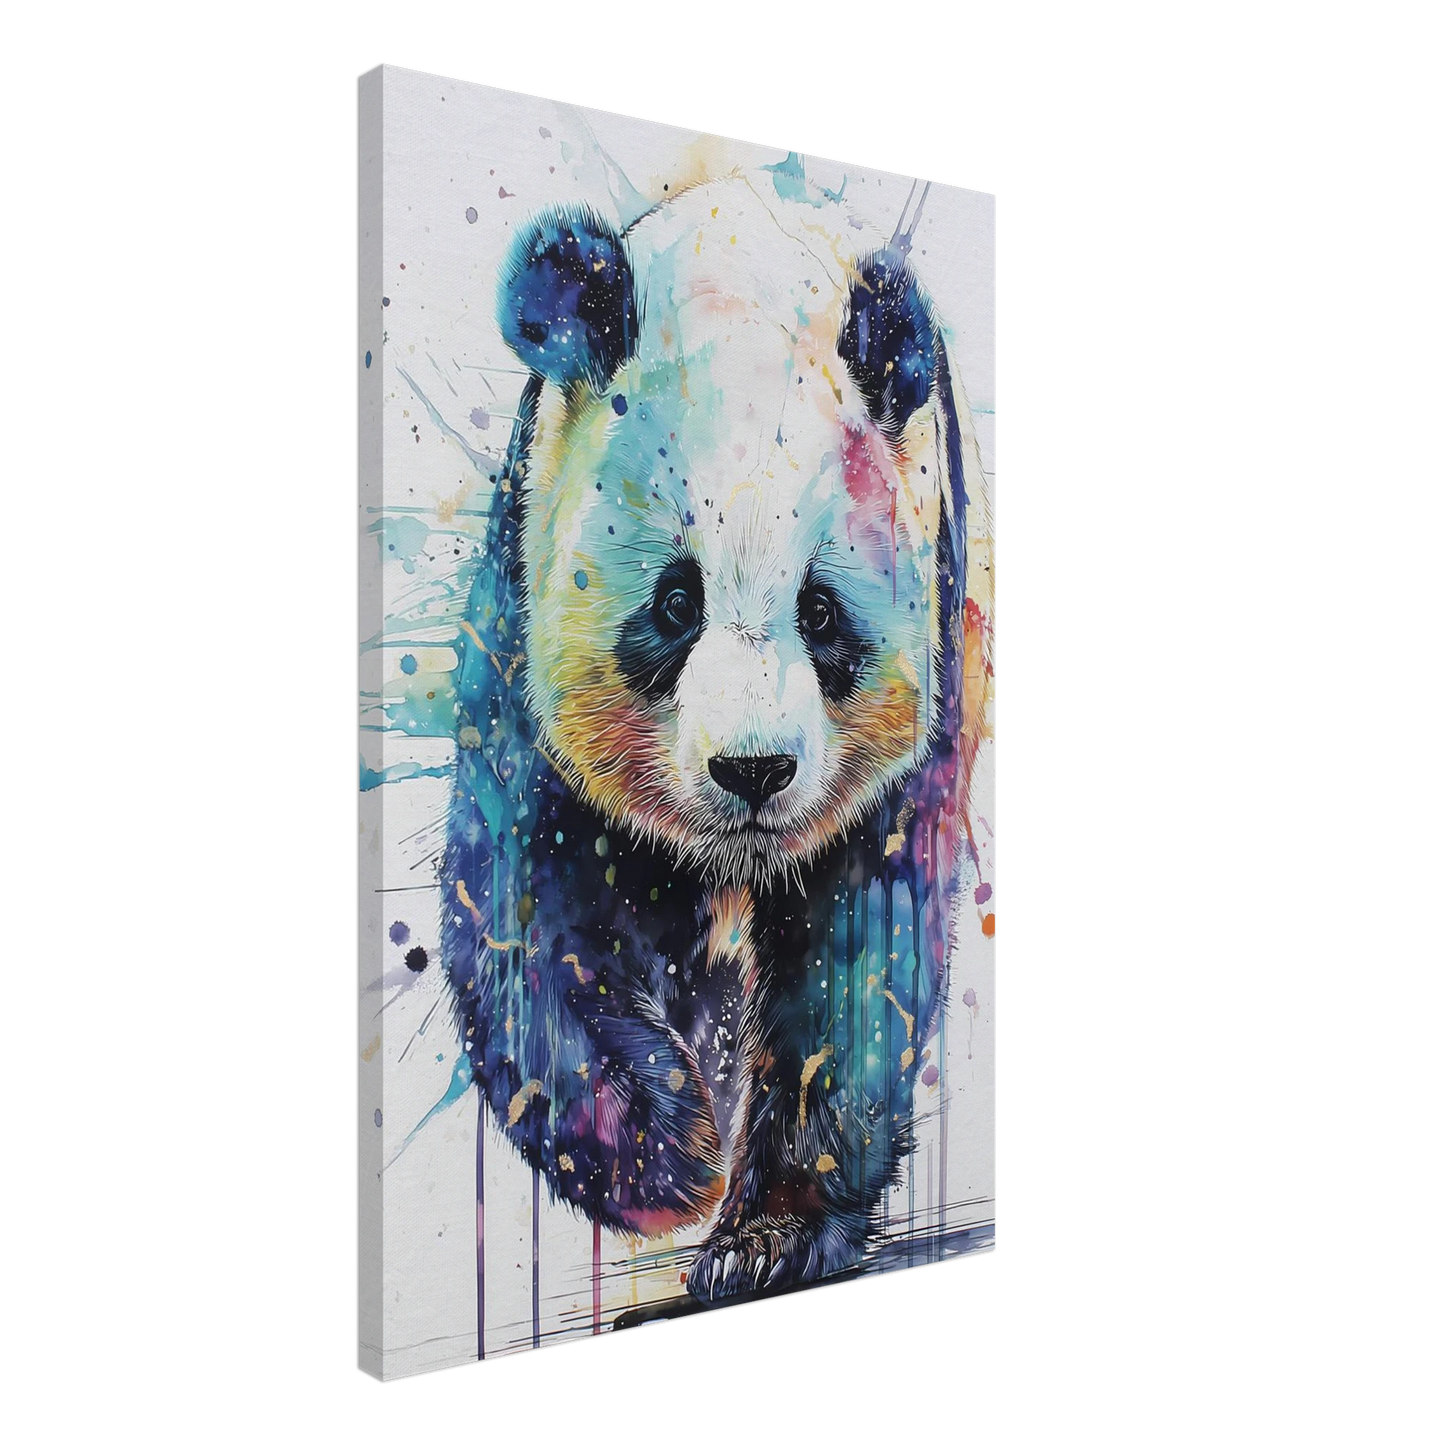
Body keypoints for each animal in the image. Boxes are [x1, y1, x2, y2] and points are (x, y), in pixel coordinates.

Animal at [442, 170, 993, 1302]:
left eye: (821, 612)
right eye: (673, 601)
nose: (753, 771)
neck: (738, 276)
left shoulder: (924, 633)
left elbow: (859, 946)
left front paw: (762, 1235)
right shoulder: (522, 607)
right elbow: (524, 899)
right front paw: (667, 1158)